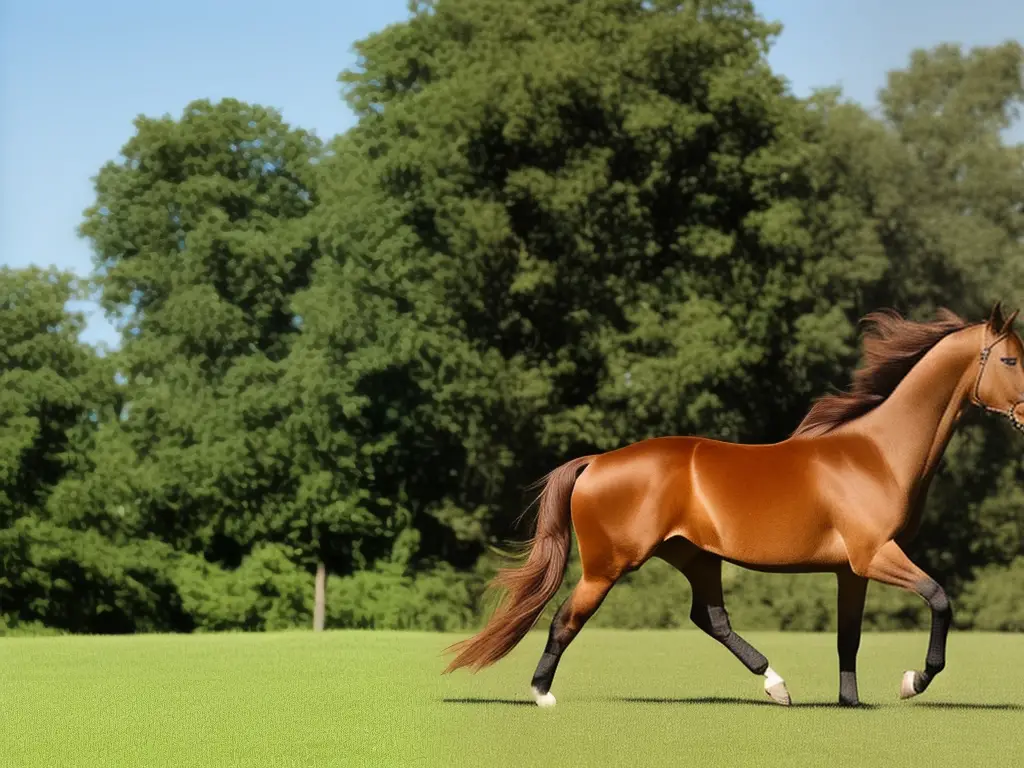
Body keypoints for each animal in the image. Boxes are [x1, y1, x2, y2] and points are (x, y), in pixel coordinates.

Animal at [440, 303, 1024, 708]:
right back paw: (542, 695)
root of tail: (597, 461)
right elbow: (940, 599)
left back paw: (777, 685)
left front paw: (850, 701)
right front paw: (912, 681)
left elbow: (849, 638)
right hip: (610, 566)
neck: (877, 454)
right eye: (1011, 358)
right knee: (566, 617)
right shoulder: (875, 556)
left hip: (694, 556)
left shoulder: (850, 569)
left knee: (710, 618)